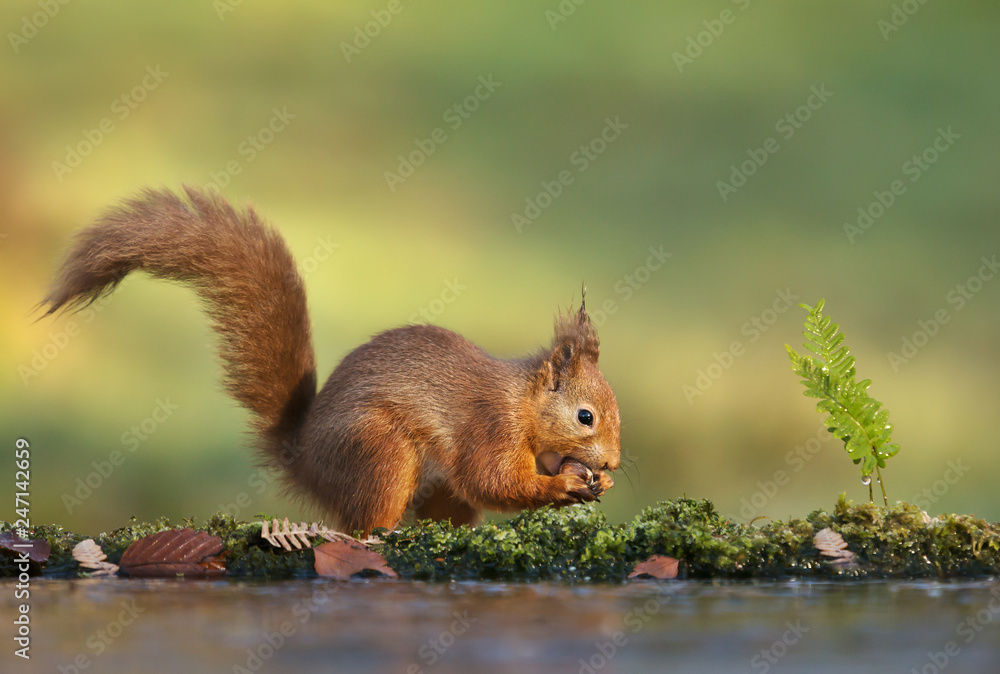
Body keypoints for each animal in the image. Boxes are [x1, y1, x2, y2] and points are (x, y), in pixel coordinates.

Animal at [43, 187, 621, 534]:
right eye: (585, 416)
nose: (614, 463)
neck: (522, 403)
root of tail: (305, 460)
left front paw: (597, 483)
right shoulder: (488, 426)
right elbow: (495, 480)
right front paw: (564, 484)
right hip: (381, 451)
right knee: (364, 524)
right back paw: (382, 537)